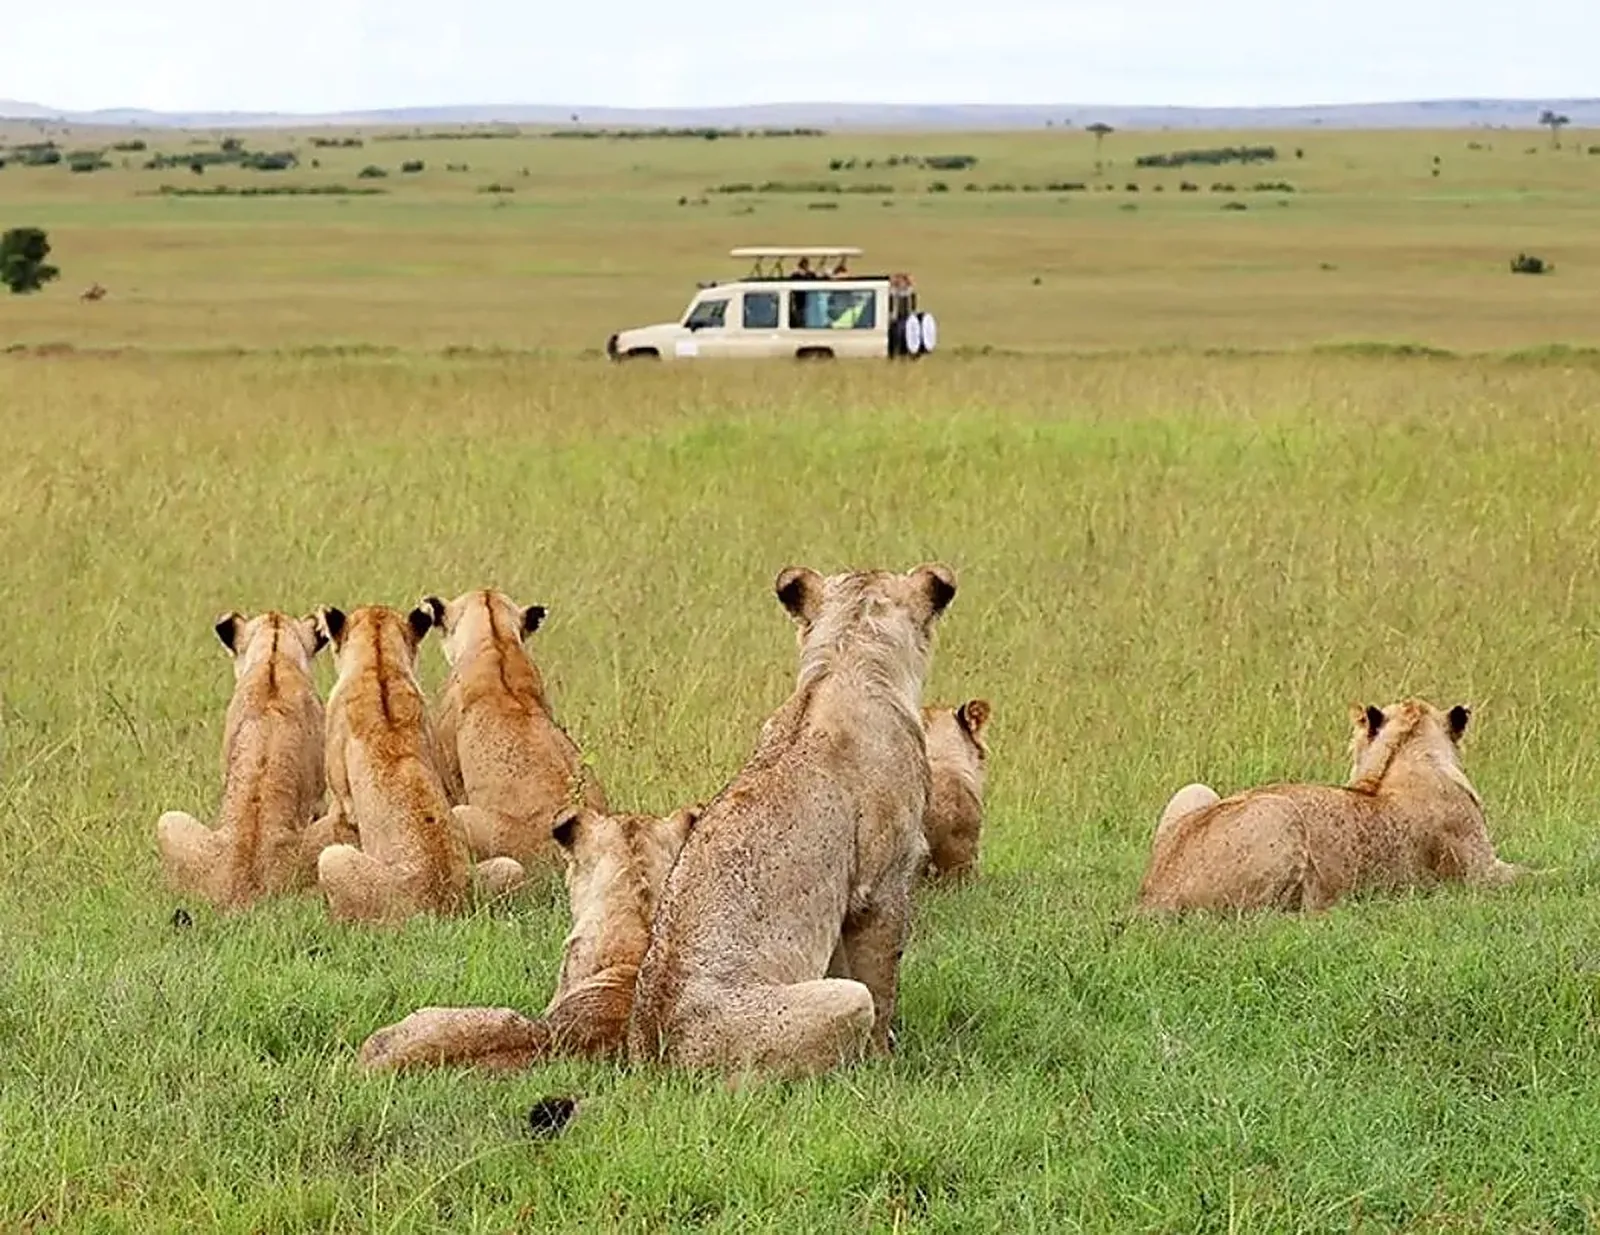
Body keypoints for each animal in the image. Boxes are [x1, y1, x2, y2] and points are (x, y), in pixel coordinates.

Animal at [627, 563, 957, 1080]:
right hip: (843, 1002)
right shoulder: (882, 885)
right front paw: (886, 1060)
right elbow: (883, 981)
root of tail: (654, 1060)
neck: (846, 657)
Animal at [1137, 698, 1528, 915]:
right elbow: (1536, 877)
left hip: (1194, 789)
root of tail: (1153, 895)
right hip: (1281, 812)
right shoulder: (1482, 874)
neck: (1405, 751)